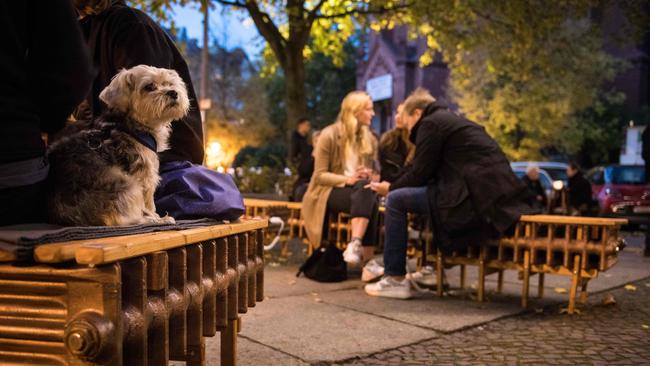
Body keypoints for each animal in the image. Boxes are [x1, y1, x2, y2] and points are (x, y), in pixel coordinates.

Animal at [47, 65, 190, 226]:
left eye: (170, 84)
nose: (173, 92)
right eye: (149, 87)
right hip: (128, 186)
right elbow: (149, 202)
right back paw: (156, 220)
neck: (132, 123)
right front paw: (156, 216)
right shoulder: (145, 173)